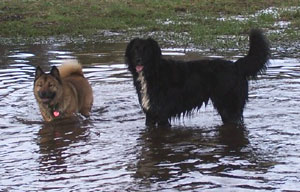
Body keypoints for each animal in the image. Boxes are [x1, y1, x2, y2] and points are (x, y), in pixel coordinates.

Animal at [125, 28, 270, 127]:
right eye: (135, 49)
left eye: (146, 50)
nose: (138, 60)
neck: (152, 72)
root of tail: (236, 65)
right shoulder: (150, 115)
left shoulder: (162, 114)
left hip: (230, 106)